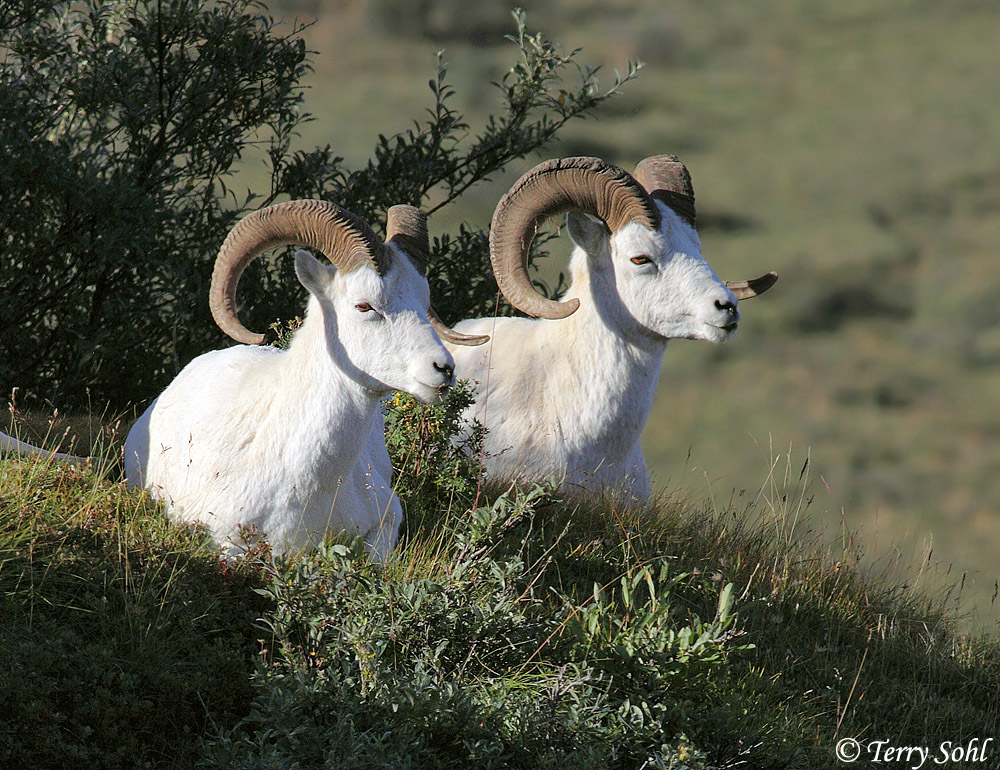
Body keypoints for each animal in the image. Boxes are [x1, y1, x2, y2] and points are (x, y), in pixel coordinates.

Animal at [124, 198, 484, 560]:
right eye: (364, 306)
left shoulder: (386, 522)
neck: (303, 485)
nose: (443, 369)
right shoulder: (224, 543)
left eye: (424, 301)